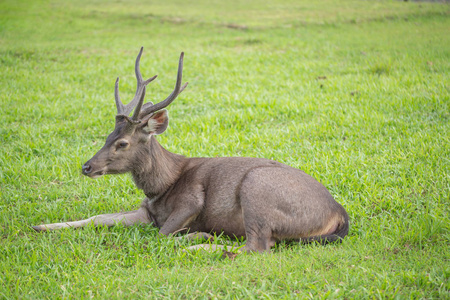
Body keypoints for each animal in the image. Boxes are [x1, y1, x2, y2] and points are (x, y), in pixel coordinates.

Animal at [33, 48, 350, 252]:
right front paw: (41, 227)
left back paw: (201, 243)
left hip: (257, 187)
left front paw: (196, 235)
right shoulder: (146, 211)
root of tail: (340, 214)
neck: (162, 186)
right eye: (107, 135)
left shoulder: (191, 201)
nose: (87, 166)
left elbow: (159, 236)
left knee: (256, 246)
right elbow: (99, 218)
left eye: (123, 143)